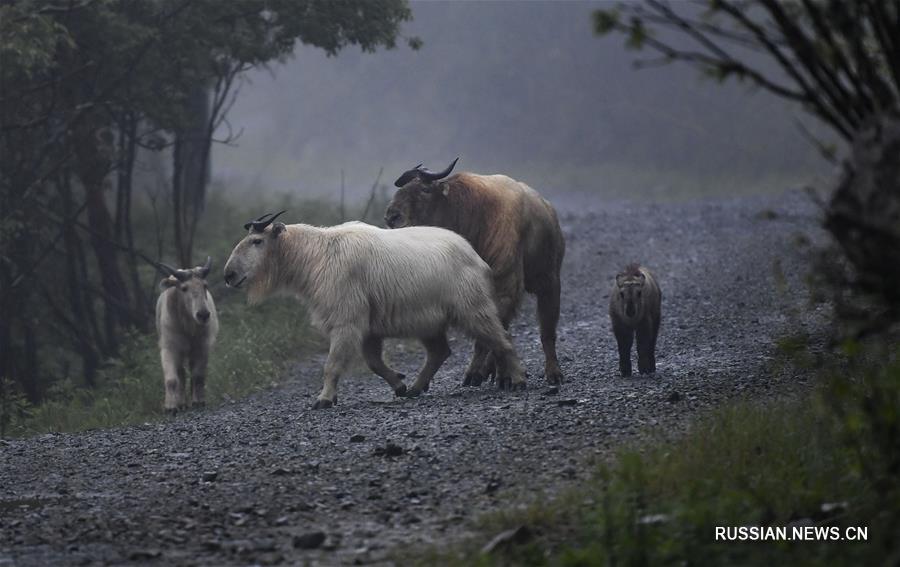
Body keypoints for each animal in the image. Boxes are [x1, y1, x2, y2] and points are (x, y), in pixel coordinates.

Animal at [155, 258, 218, 412]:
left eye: (205, 285)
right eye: (184, 288)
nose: (203, 315)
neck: (188, 326)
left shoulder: (202, 347)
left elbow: (198, 376)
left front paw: (198, 401)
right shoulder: (169, 348)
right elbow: (172, 379)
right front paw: (171, 406)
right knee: (181, 374)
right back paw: (181, 402)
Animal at [222, 211, 528, 410]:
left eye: (257, 241)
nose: (229, 275)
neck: (317, 255)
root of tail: (477, 258)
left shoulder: (346, 321)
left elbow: (333, 364)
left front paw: (324, 399)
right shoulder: (367, 328)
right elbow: (373, 363)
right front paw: (399, 385)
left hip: (473, 310)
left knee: (502, 341)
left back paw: (518, 379)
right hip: (429, 323)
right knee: (440, 352)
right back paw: (416, 388)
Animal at [384, 158, 564, 386]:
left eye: (424, 189)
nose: (391, 216)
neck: (475, 216)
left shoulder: (505, 286)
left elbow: (490, 337)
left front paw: (489, 374)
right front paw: (486, 373)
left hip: (549, 284)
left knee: (546, 332)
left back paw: (552, 372)